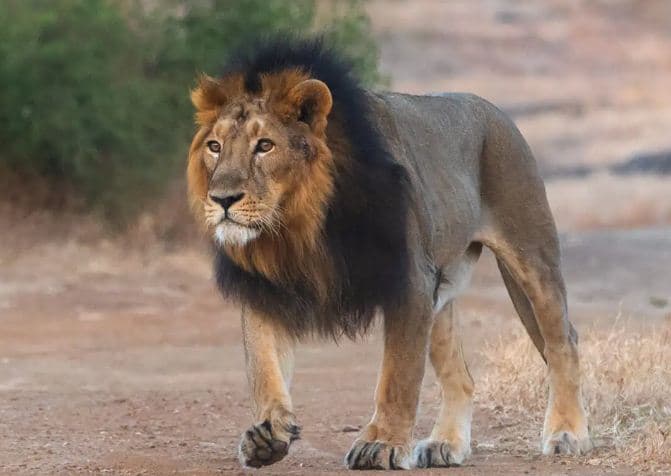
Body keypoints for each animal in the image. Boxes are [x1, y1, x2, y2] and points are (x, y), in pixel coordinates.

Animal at [186, 37, 592, 469]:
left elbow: (397, 376)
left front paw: (381, 443)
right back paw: (445, 444)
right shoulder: (264, 286)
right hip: (441, 290)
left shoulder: (409, 282)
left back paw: (567, 433)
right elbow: (263, 366)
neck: (298, 225)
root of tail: (496, 111)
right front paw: (268, 433)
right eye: (214, 147)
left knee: (563, 343)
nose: (222, 199)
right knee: (461, 375)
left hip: (531, 256)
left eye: (264, 146)